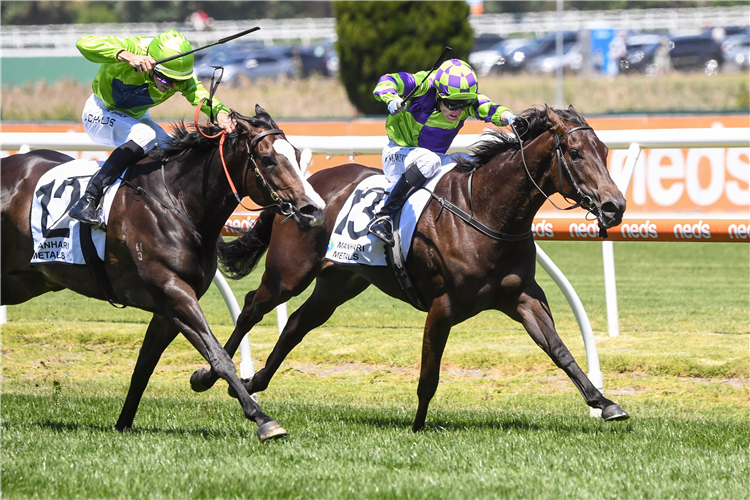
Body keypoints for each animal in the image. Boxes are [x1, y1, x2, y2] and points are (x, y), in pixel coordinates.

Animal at [0, 104, 324, 438]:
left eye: (296, 155)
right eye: (268, 159)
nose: (313, 209)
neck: (177, 203)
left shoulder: (167, 307)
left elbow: (144, 366)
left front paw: (123, 424)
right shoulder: (173, 291)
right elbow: (218, 356)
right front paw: (262, 419)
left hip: (22, 282)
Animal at [191, 106, 632, 434]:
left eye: (603, 149)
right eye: (574, 152)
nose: (615, 206)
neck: (483, 210)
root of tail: (302, 191)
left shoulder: (522, 296)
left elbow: (560, 350)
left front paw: (605, 402)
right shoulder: (443, 305)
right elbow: (429, 373)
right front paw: (418, 426)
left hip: (341, 282)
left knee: (298, 323)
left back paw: (255, 382)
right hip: (289, 273)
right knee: (252, 307)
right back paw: (210, 377)